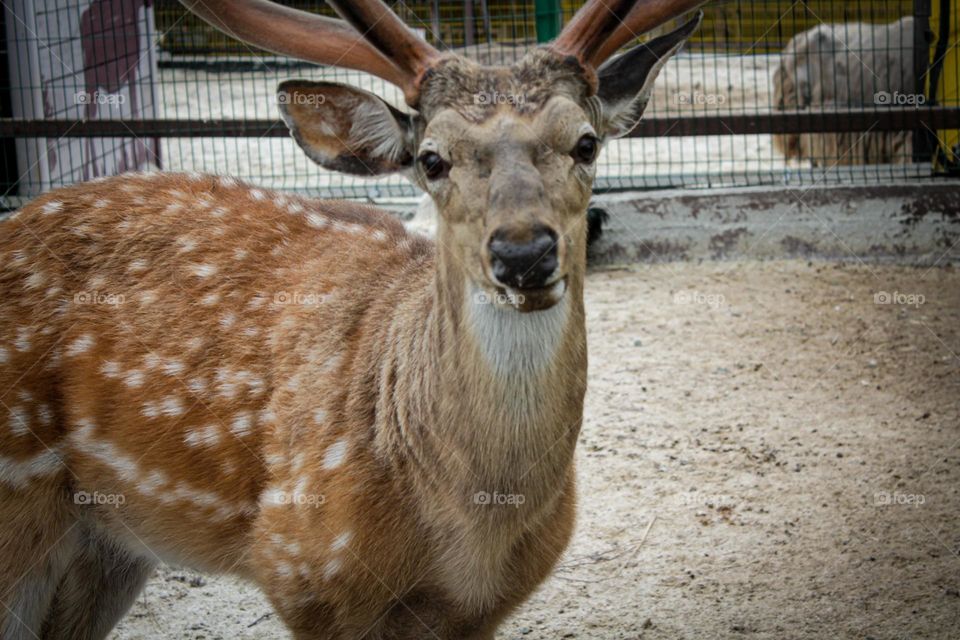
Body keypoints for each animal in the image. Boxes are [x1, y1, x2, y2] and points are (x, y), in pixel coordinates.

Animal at [0, 1, 703, 638]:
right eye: (431, 159)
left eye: (586, 142)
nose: (523, 252)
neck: (475, 525)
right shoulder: (303, 571)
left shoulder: (485, 608)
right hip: (20, 503)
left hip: (109, 546)